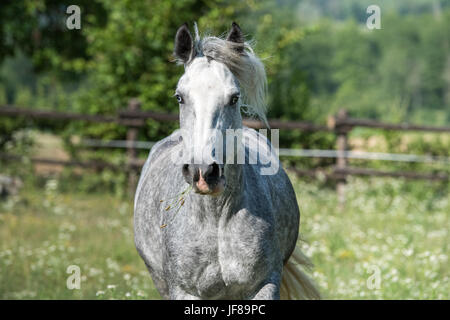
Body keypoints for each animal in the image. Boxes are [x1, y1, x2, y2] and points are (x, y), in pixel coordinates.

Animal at [134, 22, 320, 300]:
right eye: (179, 97)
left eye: (234, 97)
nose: (202, 172)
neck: (216, 219)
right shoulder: (183, 291)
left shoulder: (265, 284)